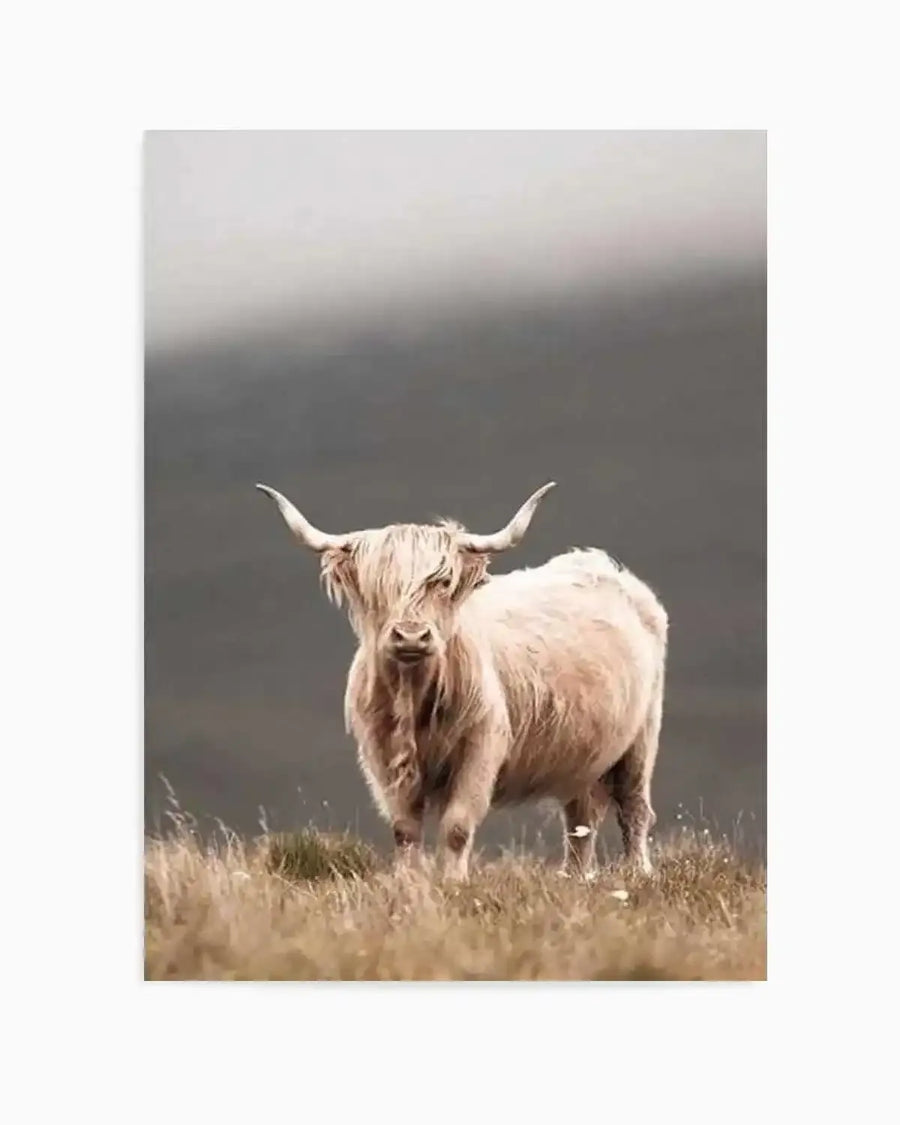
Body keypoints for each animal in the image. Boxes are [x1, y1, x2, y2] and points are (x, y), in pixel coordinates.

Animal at [257, 481, 668, 881]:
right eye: (379, 587)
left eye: (443, 582)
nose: (411, 636)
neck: (415, 699)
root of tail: (598, 563)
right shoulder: (382, 757)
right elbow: (404, 829)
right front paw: (409, 883)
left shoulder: (481, 748)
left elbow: (457, 826)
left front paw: (455, 883)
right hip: (583, 754)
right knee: (581, 819)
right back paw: (576, 879)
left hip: (642, 737)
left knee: (633, 807)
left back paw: (638, 873)